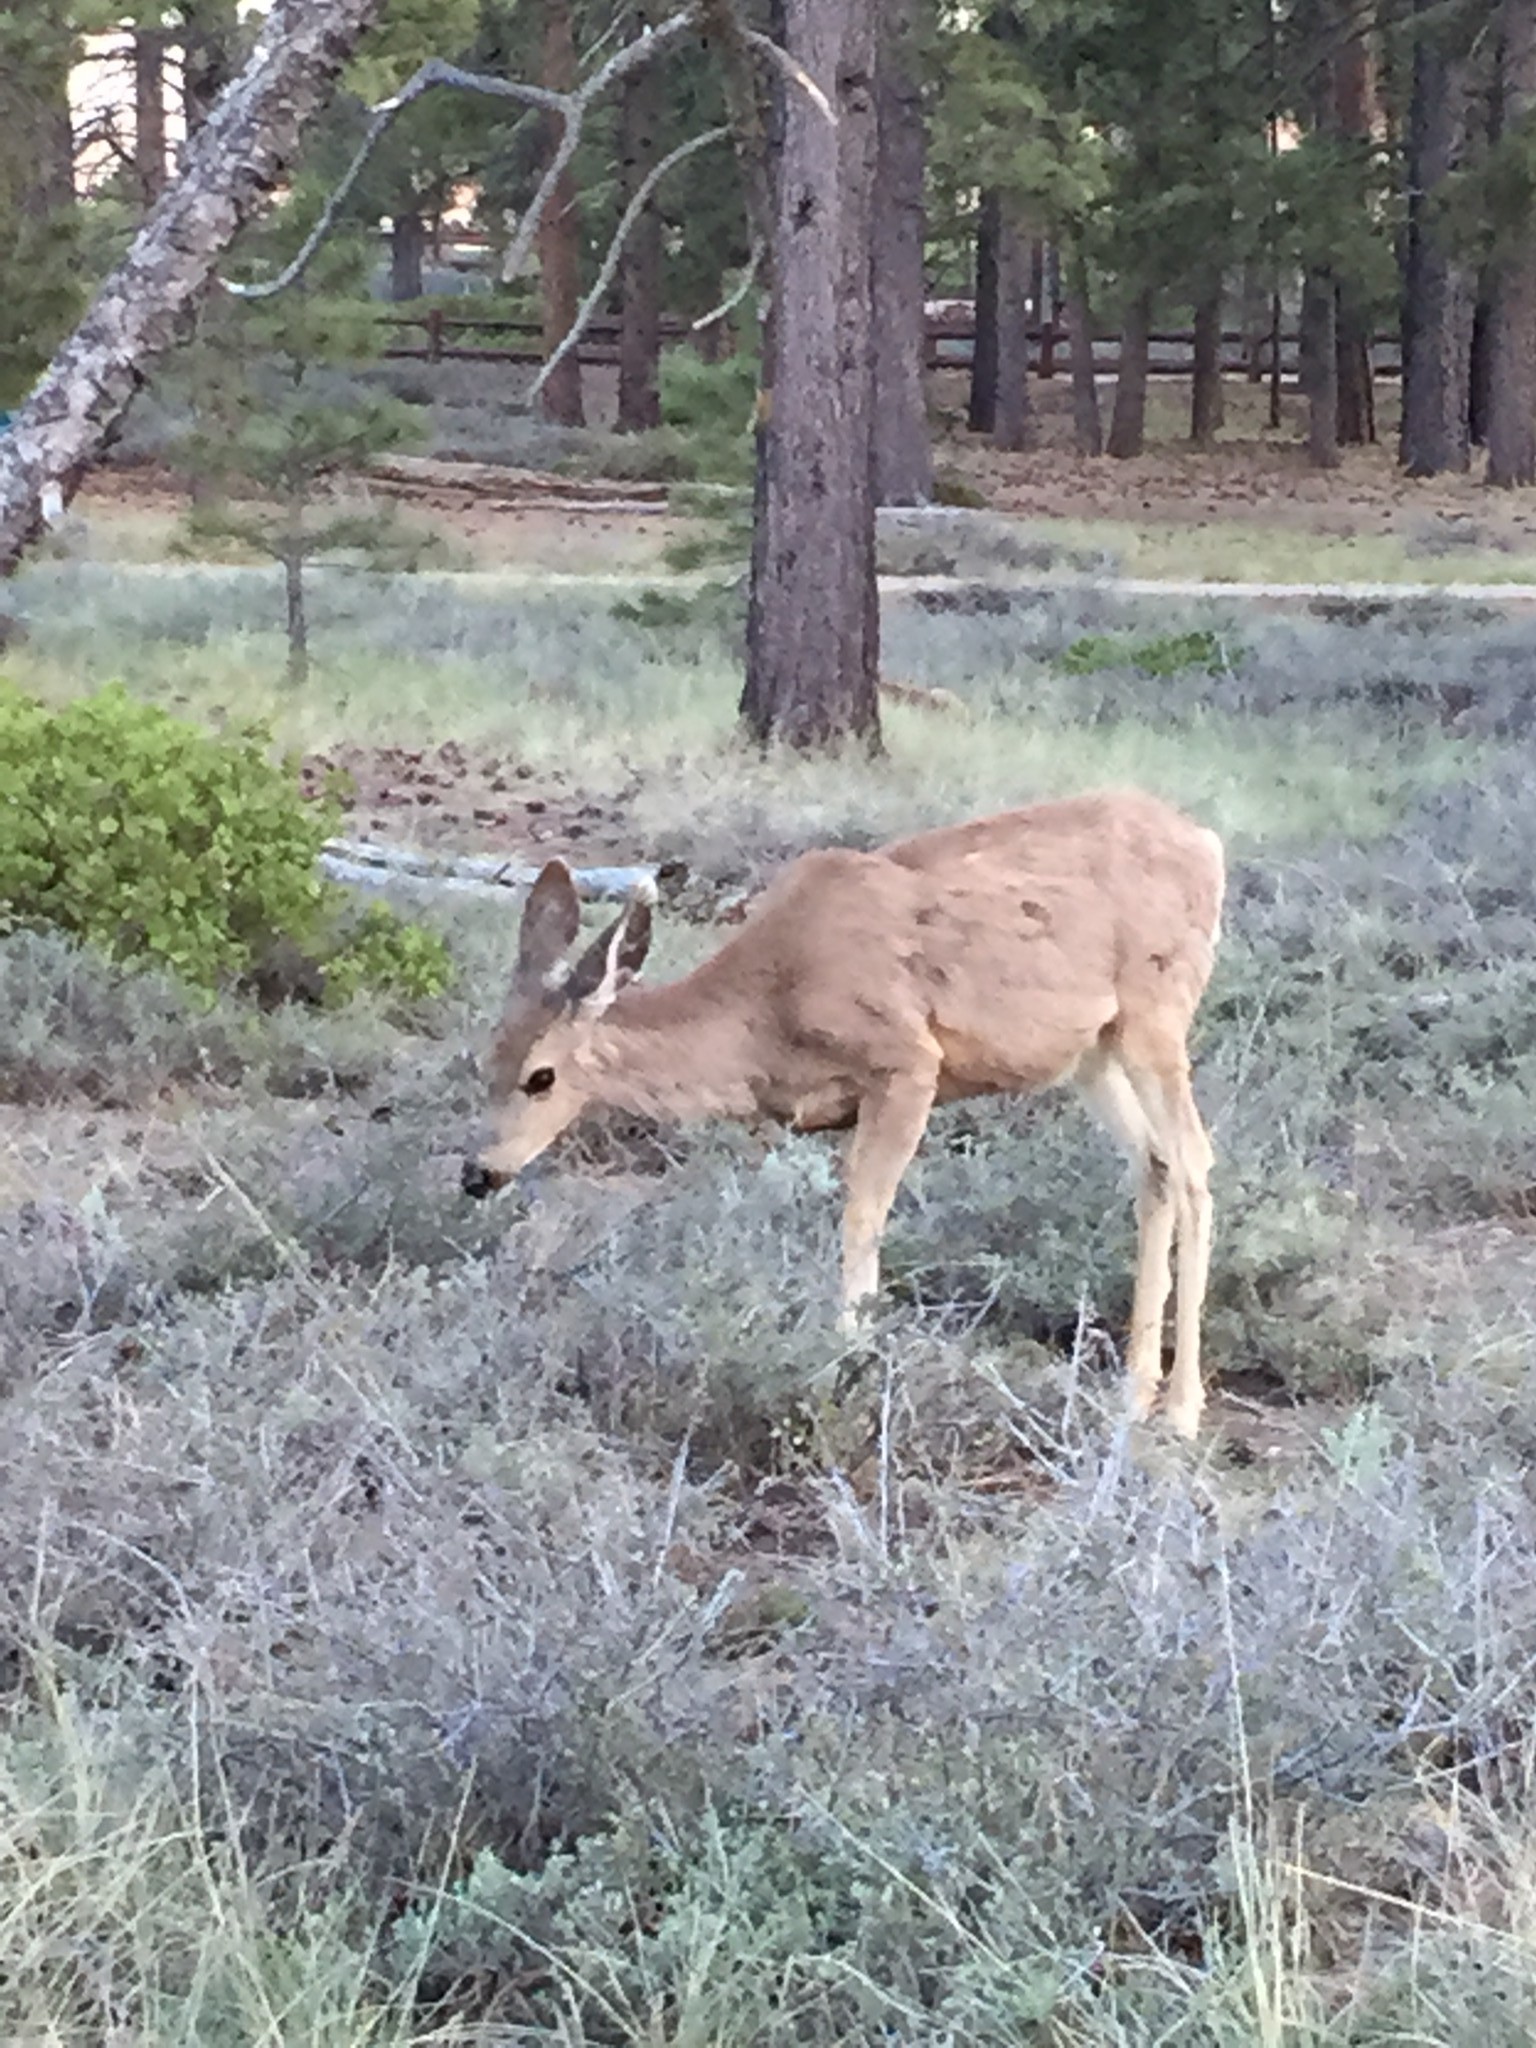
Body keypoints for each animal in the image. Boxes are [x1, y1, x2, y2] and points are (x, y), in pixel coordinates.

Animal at [462, 786, 1236, 1441]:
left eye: (541, 1077)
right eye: (485, 1059)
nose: (478, 1174)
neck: (767, 1010)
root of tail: (1208, 845)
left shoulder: (908, 1060)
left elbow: (863, 1213)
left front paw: (850, 1364)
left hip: (1155, 1015)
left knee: (1193, 1161)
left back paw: (1181, 1413)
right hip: (1093, 1053)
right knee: (1155, 1164)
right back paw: (1134, 1393)